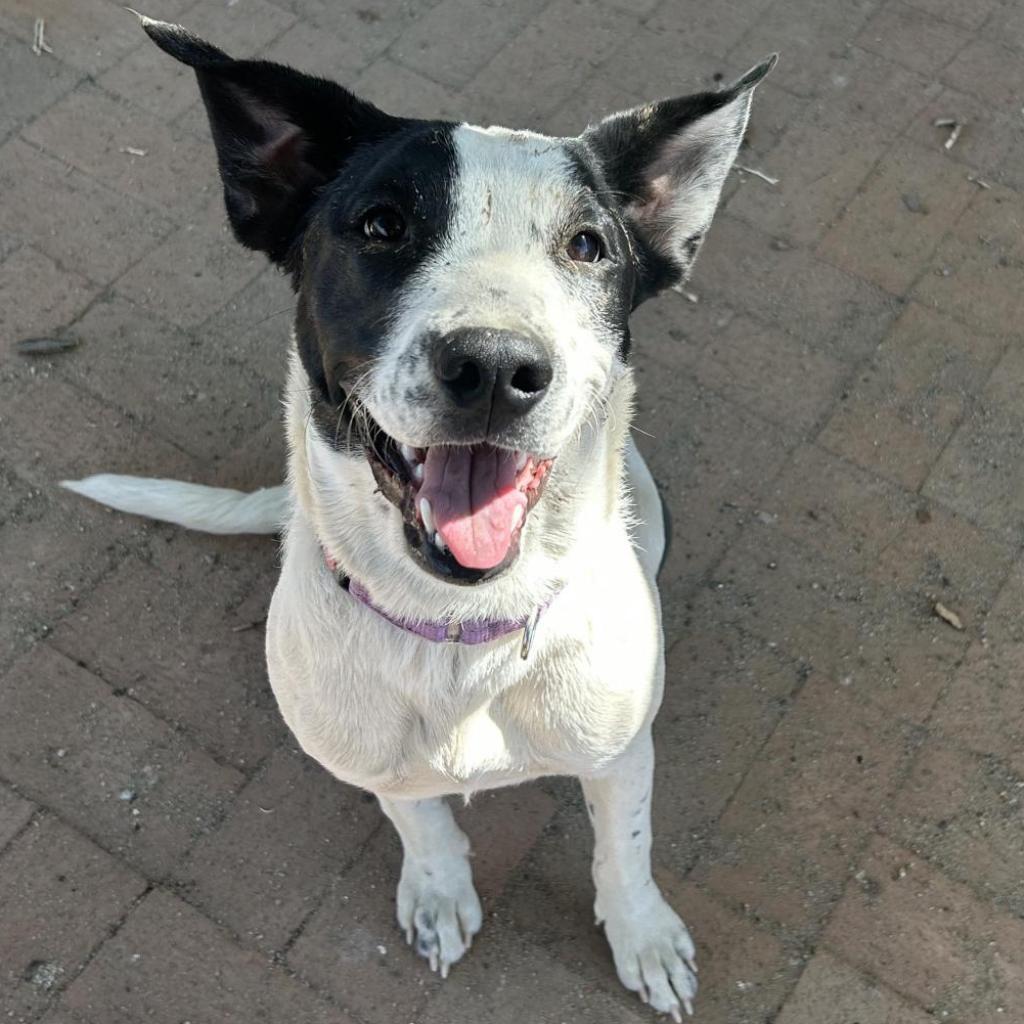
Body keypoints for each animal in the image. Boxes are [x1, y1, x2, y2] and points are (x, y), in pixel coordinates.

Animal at [68, 19, 770, 1019]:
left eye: (588, 245)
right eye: (381, 225)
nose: (496, 368)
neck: (459, 635)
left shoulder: (621, 754)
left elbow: (623, 853)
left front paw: (643, 938)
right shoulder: (372, 761)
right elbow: (420, 821)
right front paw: (439, 892)